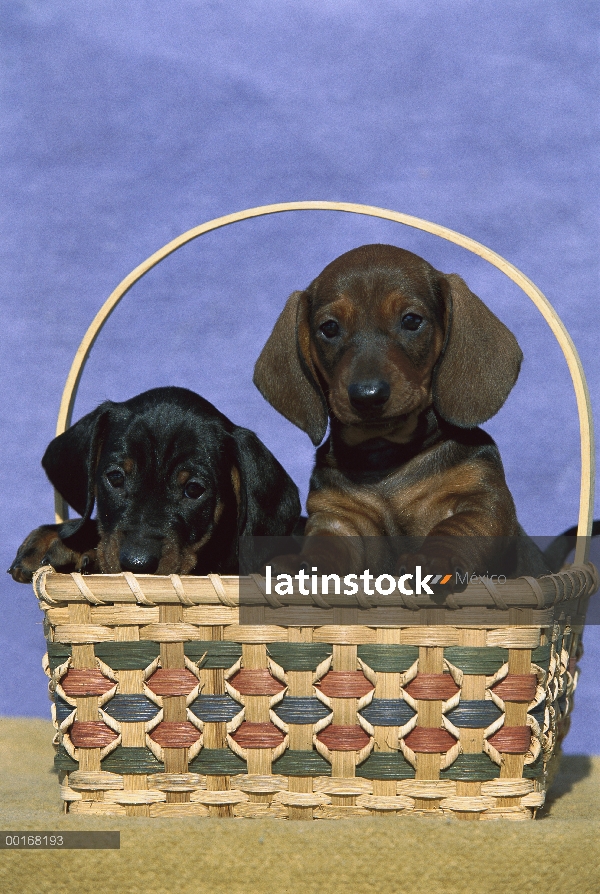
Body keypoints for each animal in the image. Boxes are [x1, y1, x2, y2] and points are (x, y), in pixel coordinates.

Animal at [255, 242, 548, 584]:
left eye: (411, 320)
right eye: (329, 328)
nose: (368, 396)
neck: (386, 454)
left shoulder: (483, 500)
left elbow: (454, 528)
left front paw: (433, 558)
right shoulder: (336, 518)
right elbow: (326, 546)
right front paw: (305, 566)